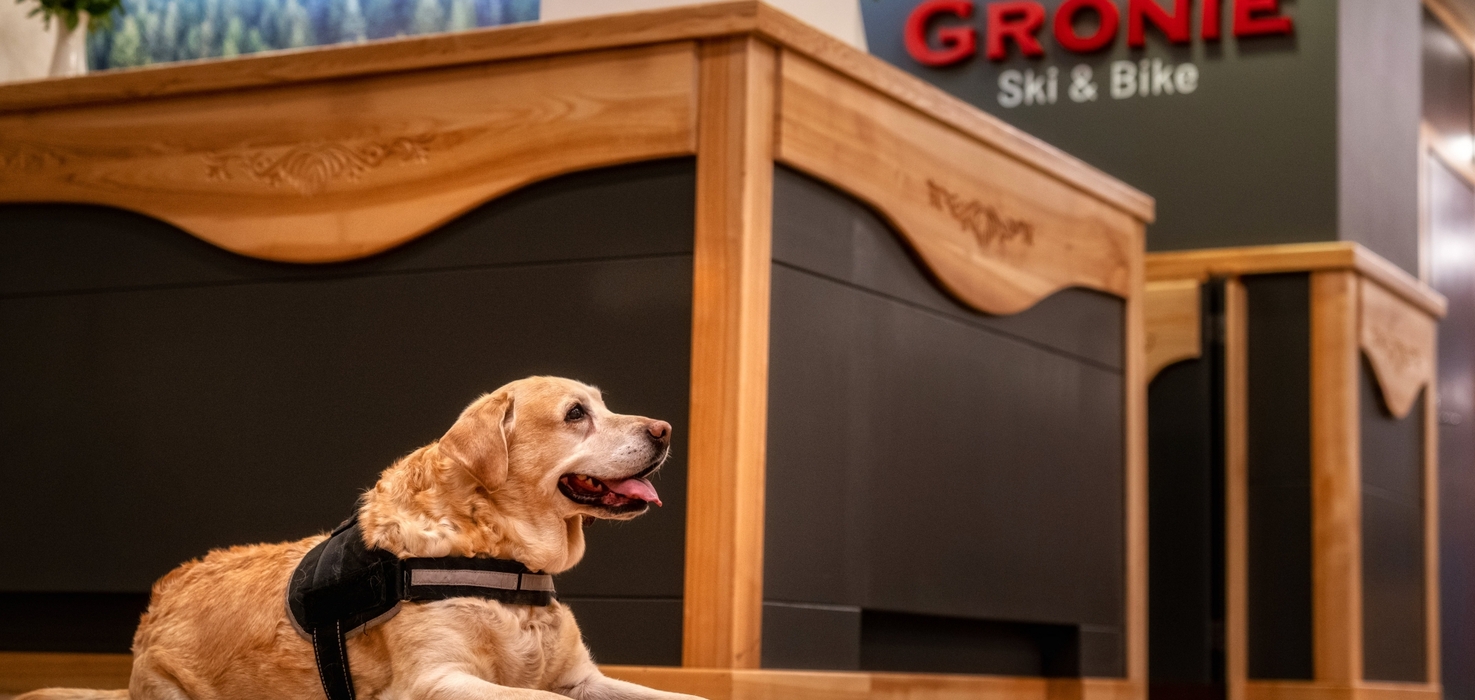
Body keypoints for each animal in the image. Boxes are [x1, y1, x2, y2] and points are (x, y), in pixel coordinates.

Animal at [19, 376, 705, 700]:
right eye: (575, 415)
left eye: (603, 405)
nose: (666, 429)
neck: (502, 558)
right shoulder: (437, 681)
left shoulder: (580, 677)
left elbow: (676, 694)